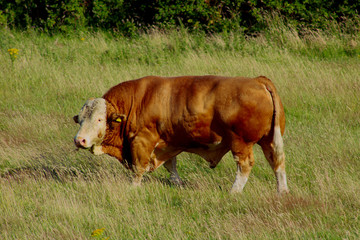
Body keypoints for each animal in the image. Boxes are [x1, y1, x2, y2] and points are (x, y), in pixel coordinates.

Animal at [74, 76, 290, 194]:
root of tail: (258, 80)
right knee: (277, 163)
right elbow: (171, 165)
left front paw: (133, 188)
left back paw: (234, 192)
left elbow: (138, 168)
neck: (136, 102)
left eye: (99, 119)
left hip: (241, 142)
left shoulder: (142, 141)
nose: (79, 140)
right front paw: (177, 183)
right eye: (81, 119)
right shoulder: (167, 143)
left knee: (245, 166)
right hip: (269, 141)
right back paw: (282, 191)